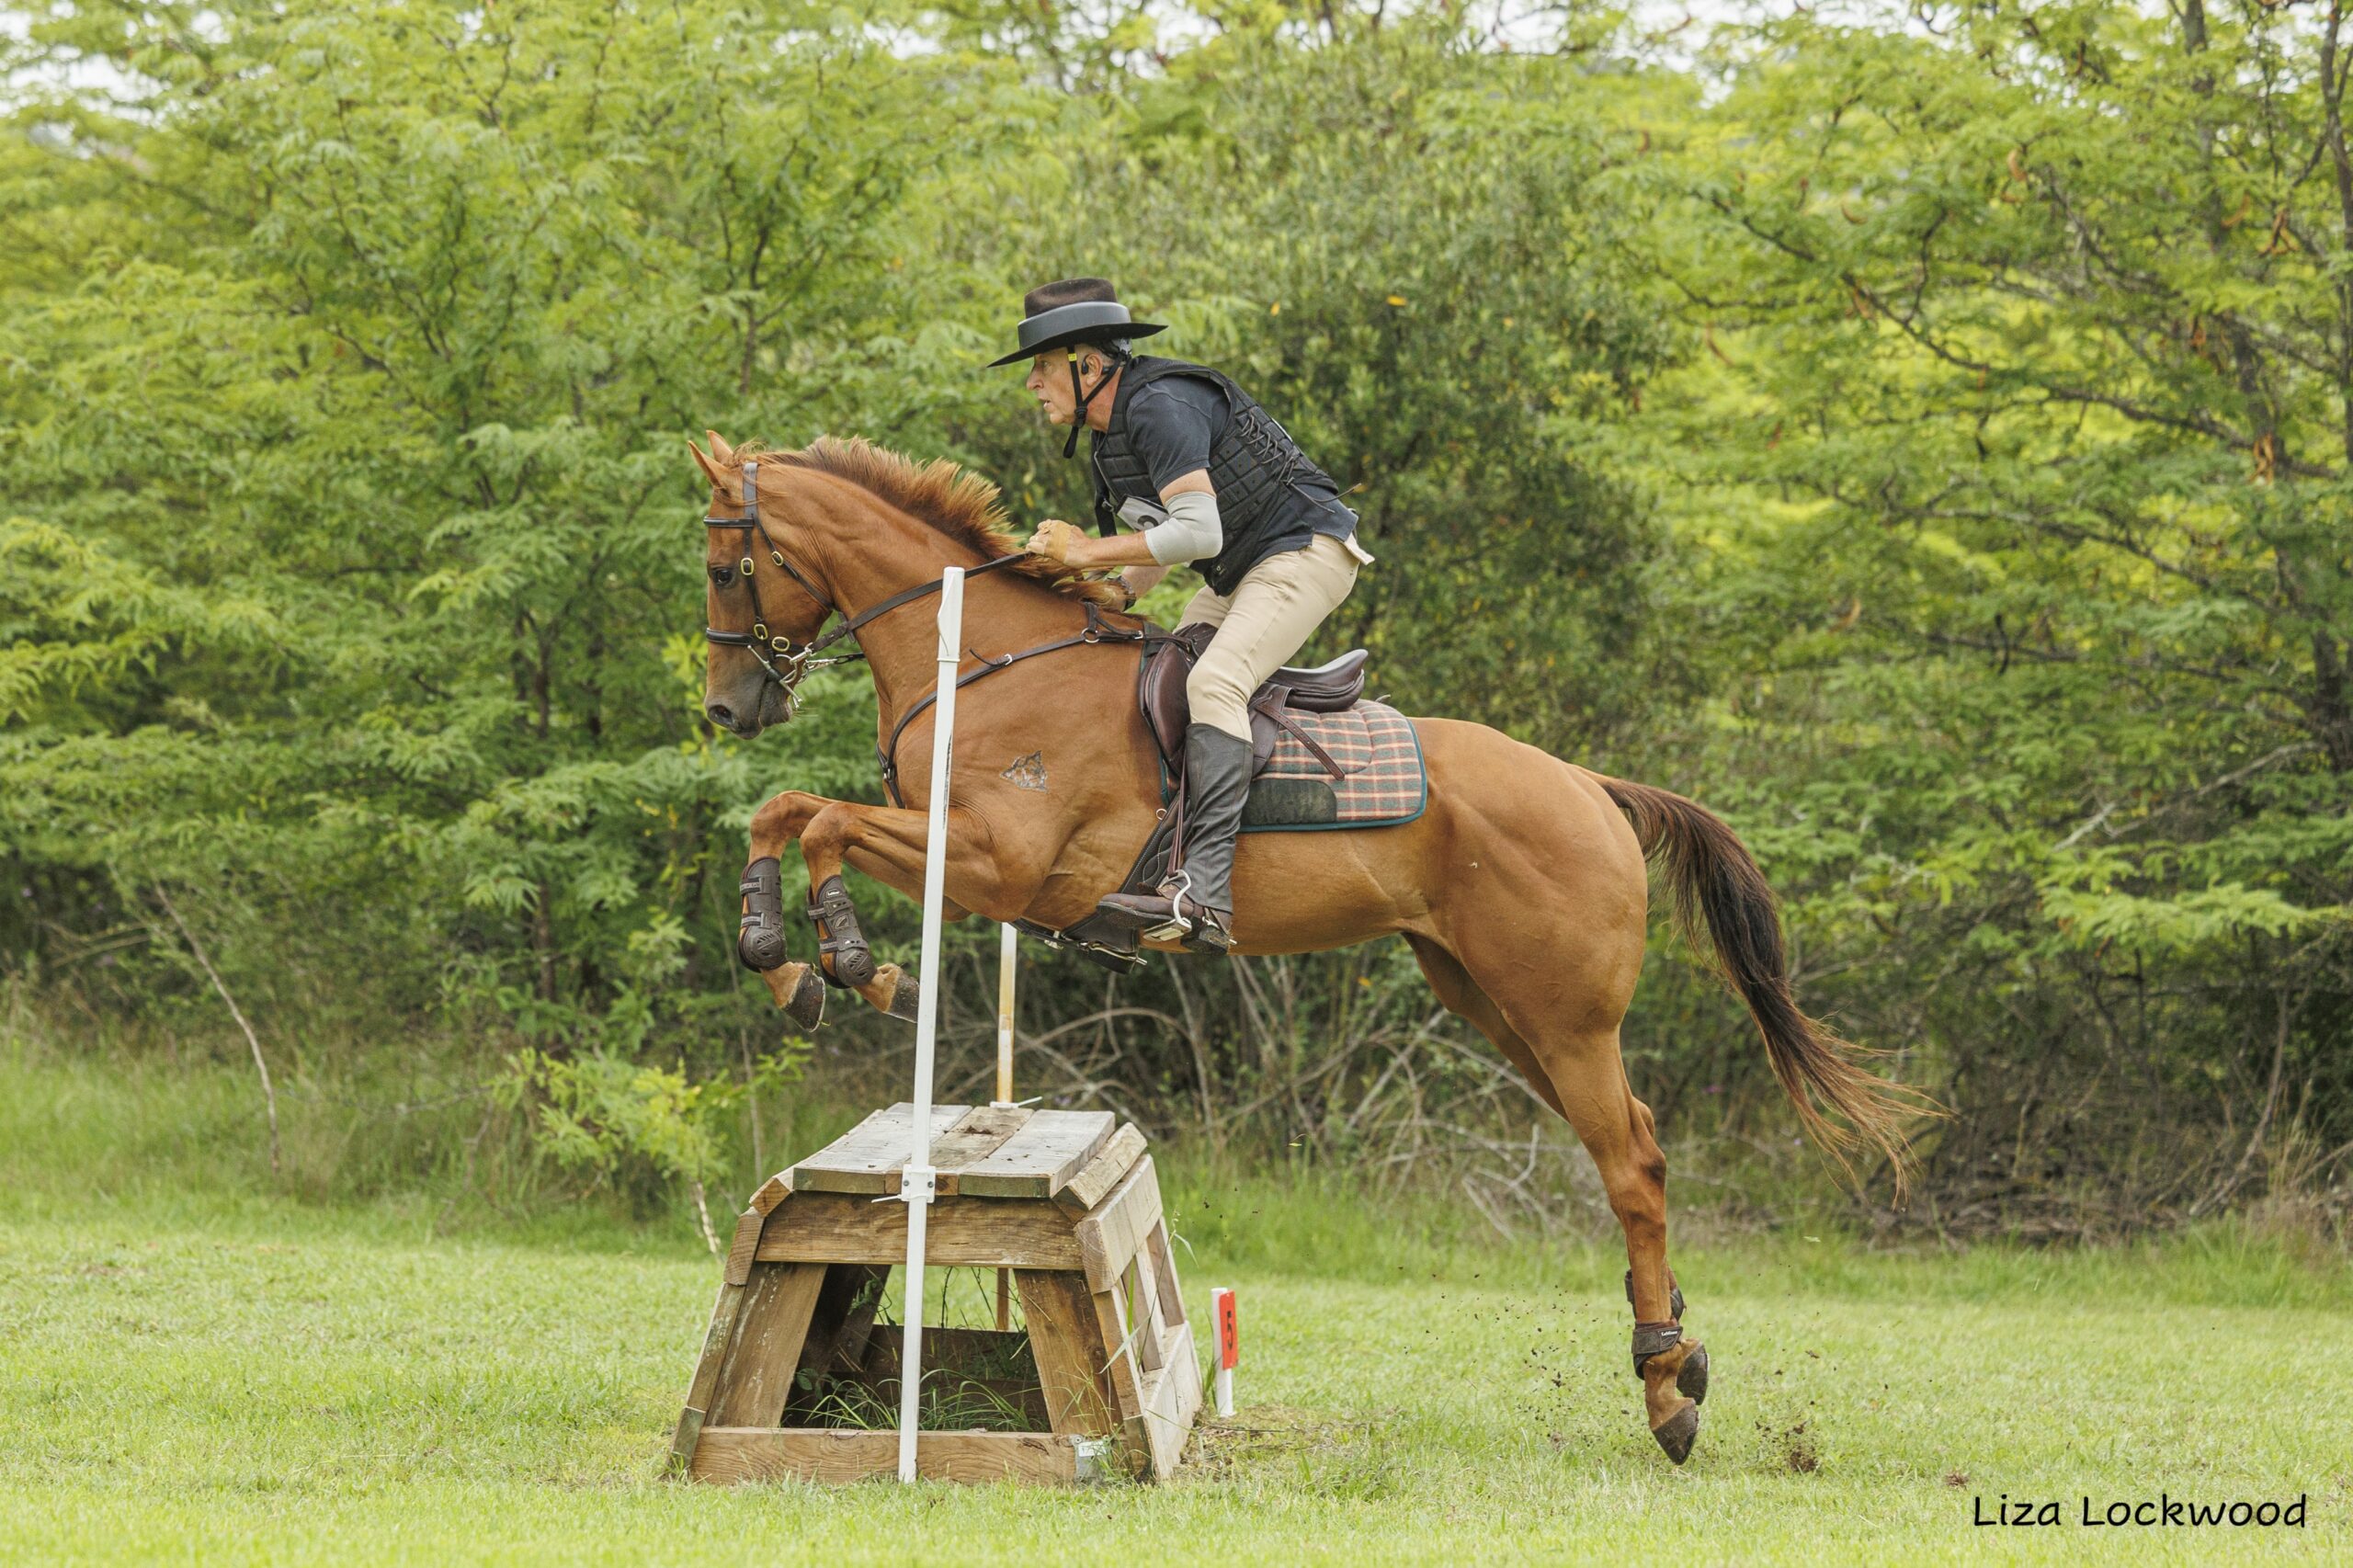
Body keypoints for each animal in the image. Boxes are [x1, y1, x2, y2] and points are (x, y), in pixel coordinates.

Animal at [689, 430, 1925, 1464]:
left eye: (724, 566)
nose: (729, 706)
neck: (989, 662)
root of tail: (1590, 785)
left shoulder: (1002, 863)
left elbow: (823, 820)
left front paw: (849, 958)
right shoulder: (967, 856)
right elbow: (783, 810)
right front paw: (782, 954)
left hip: (1561, 1013)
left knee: (1631, 1162)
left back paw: (1666, 1391)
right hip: (1496, 1006)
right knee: (1634, 1141)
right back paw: (1676, 1361)